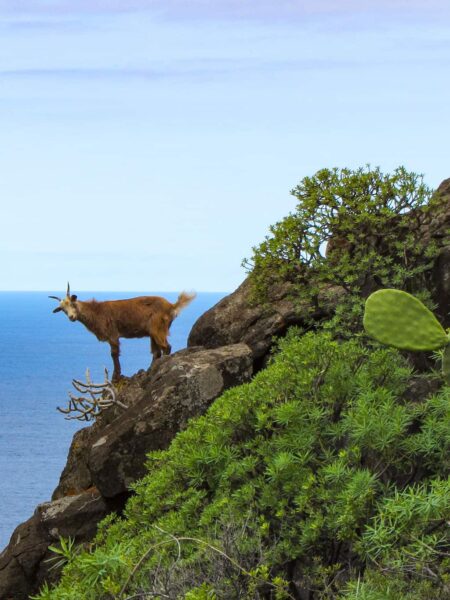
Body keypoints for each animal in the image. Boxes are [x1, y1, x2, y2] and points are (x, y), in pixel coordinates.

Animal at [50, 284, 195, 382]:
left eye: (72, 304)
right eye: (62, 309)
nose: (71, 317)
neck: (96, 312)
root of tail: (172, 306)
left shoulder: (112, 334)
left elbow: (114, 354)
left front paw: (116, 377)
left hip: (158, 327)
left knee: (166, 347)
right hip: (154, 332)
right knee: (156, 351)